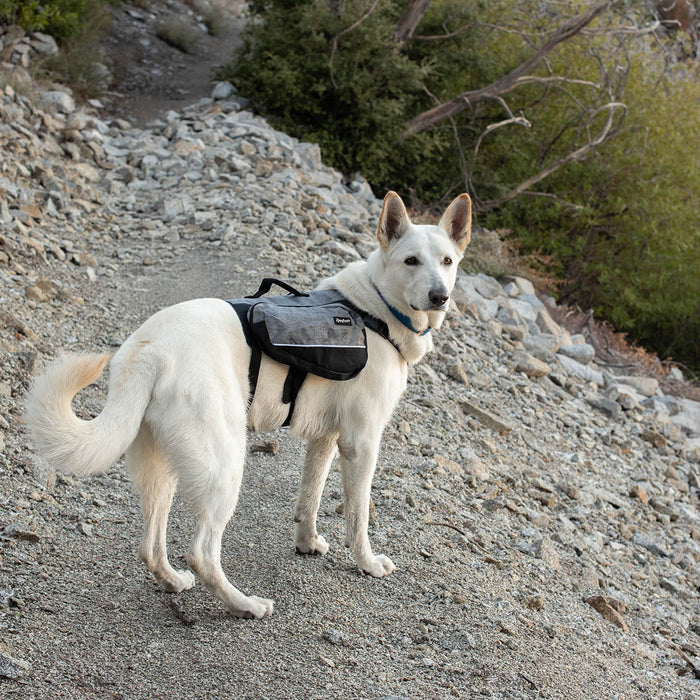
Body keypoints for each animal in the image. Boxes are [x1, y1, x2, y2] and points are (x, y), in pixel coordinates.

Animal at [24, 190, 470, 616]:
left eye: (447, 261)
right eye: (411, 261)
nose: (440, 296)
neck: (376, 310)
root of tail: (149, 348)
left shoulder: (325, 439)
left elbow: (310, 497)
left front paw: (307, 543)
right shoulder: (360, 443)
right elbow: (358, 515)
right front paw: (367, 563)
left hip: (160, 466)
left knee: (150, 545)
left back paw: (173, 581)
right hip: (225, 466)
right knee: (202, 553)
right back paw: (245, 605)